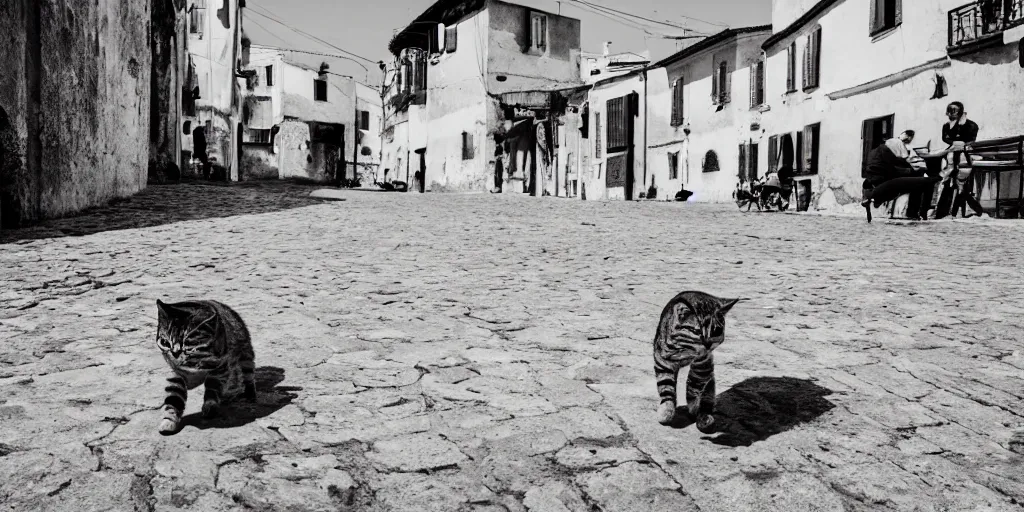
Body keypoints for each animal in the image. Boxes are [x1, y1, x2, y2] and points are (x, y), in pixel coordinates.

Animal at [153, 299, 256, 434]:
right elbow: (174, 397)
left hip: (245, 352)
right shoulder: (175, 373)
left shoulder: (219, 368)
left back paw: (249, 393)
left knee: (248, 372)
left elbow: (213, 389)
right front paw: (168, 420)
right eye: (165, 342)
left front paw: (209, 407)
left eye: (188, 343)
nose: (175, 353)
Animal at [651, 292, 741, 432]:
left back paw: (704, 416)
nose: (707, 344)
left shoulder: (702, 364)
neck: (686, 348)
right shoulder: (663, 361)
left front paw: (696, 408)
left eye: (716, 331)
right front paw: (666, 410)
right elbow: (666, 386)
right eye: (696, 331)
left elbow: (695, 387)